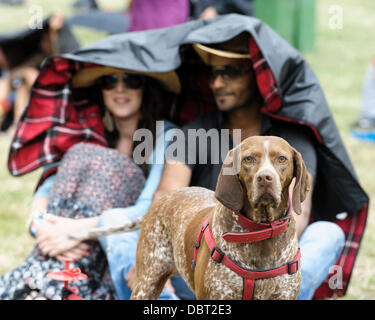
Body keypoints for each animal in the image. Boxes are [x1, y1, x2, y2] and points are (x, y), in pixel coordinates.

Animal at [131, 135, 310, 300]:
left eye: (281, 159)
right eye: (248, 159)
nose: (265, 178)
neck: (261, 232)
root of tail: (163, 198)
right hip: (146, 284)